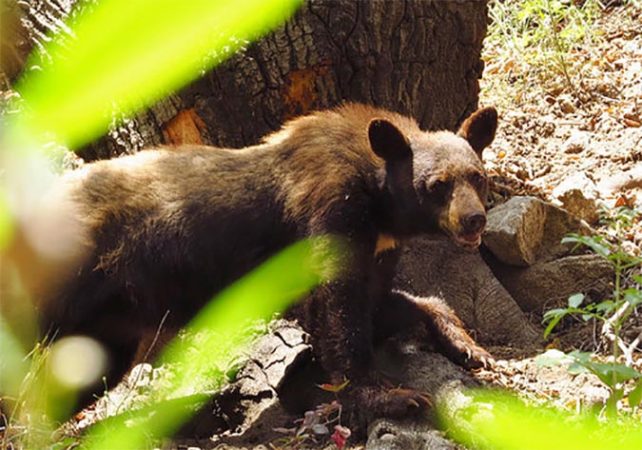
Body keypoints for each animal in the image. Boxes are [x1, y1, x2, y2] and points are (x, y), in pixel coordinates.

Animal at [14, 103, 497, 421]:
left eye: (478, 176)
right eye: (437, 184)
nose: (474, 219)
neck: (378, 204)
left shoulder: (379, 247)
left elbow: (382, 302)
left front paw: (469, 345)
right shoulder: (328, 211)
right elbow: (336, 310)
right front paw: (394, 396)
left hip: (107, 323)